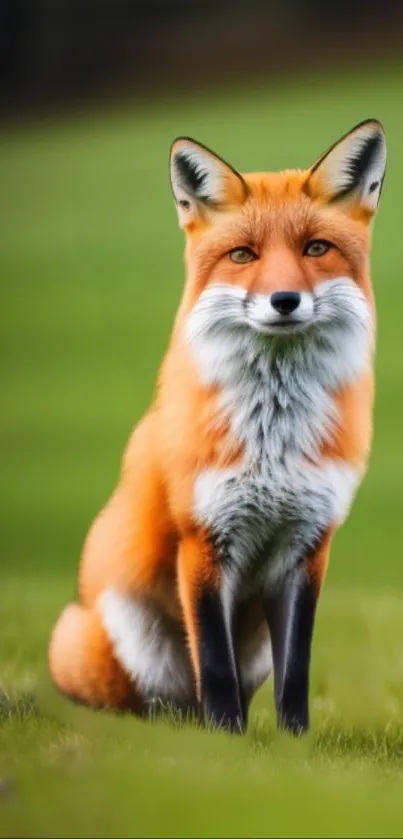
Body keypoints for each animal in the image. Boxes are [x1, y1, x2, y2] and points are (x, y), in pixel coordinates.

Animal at [49, 118, 388, 736]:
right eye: (243, 254)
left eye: (315, 248)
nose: (284, 300)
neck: (273, 437)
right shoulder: (203, 540)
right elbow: (213, 657)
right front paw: (226, 739)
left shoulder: (309, 545)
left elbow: (297, 666)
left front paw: (293, 742)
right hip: (119, 634)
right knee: (150, 700)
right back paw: (181, 727)